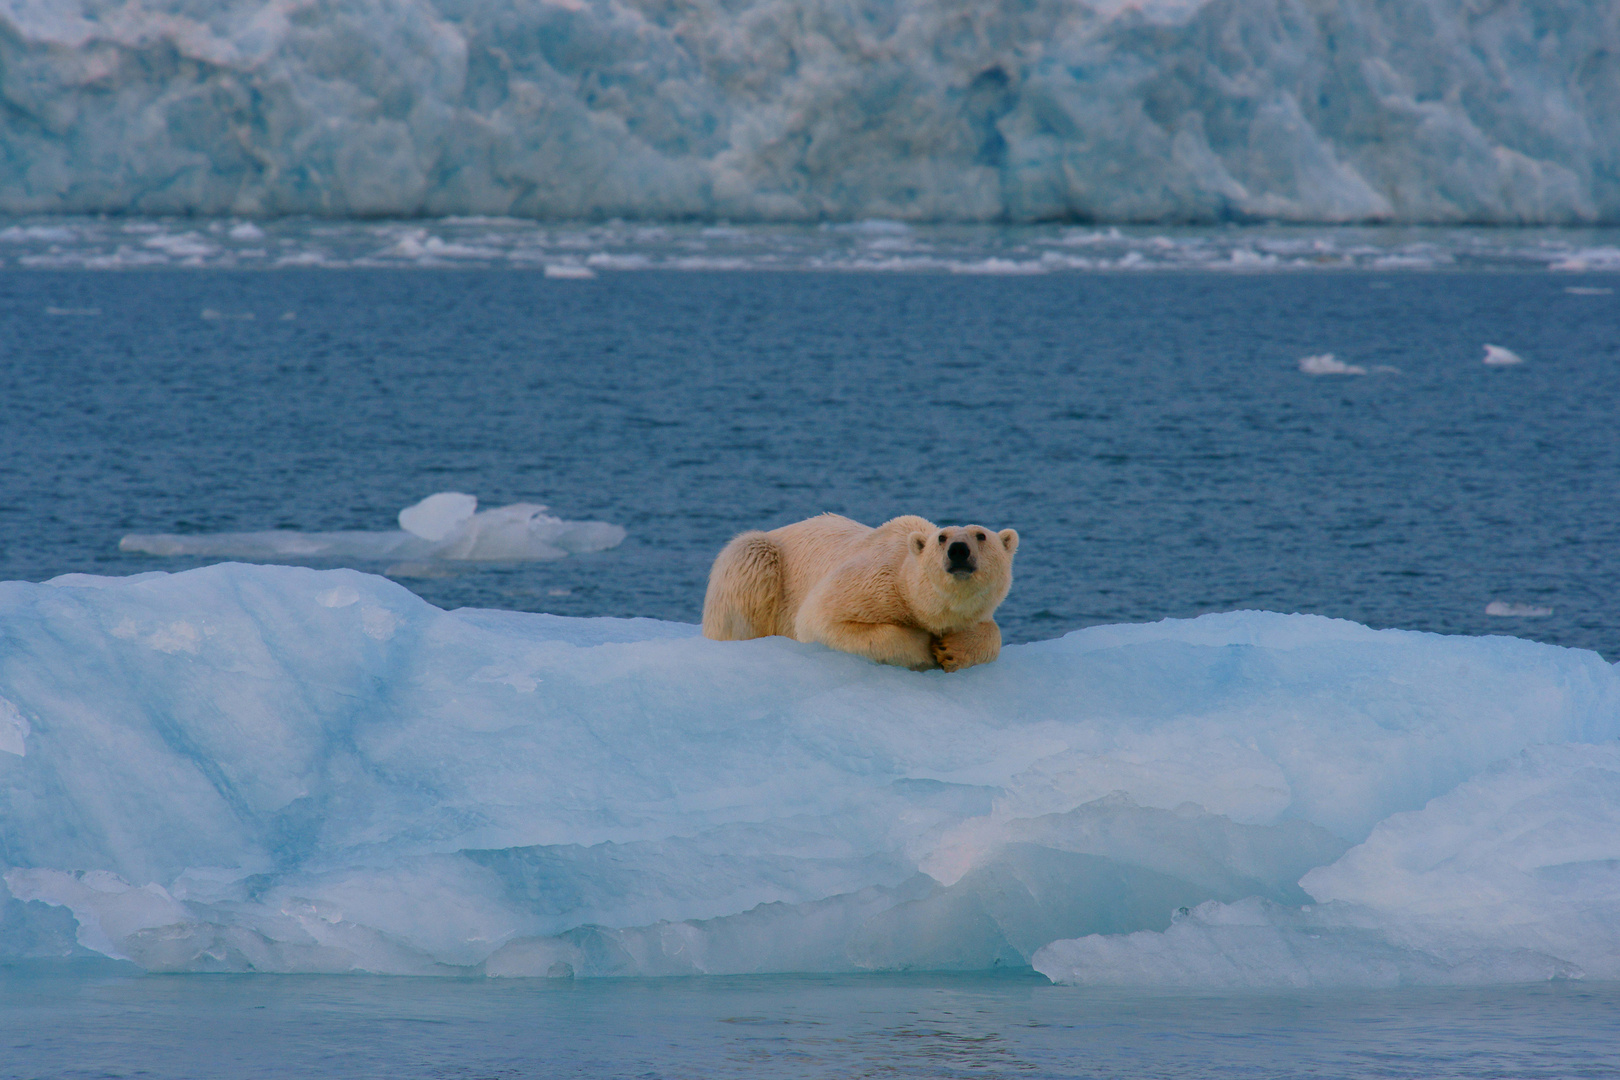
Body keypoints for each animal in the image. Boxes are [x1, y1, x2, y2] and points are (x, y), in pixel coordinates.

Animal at [703, 514, 1017, 667]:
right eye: (942, 538)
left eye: (981, 535)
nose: (959, 550)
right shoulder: (872, 582)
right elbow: (820, 621)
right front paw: (923, 647)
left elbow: (991, 632)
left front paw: (951, 650)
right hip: (761, 560)